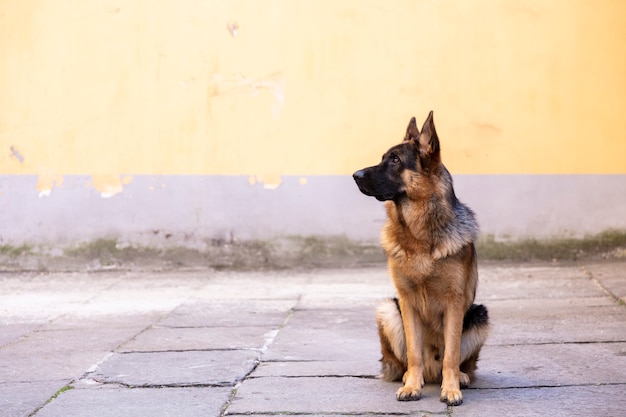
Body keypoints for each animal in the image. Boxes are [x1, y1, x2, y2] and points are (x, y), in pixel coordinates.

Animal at [352, 112, 488, 404]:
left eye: (395, 160)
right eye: (383, 157)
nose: (355, 175)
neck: (419, 237)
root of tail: (432, 373)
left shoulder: (454, 303)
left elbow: (451, 354)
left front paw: (451, 389)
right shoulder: (407, 303)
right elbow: (414, 353)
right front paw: (412, 386)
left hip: (479, 315)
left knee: (459, 361)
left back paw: (459, 377)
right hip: (388, 310)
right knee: (404, 362)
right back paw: (408, 376)